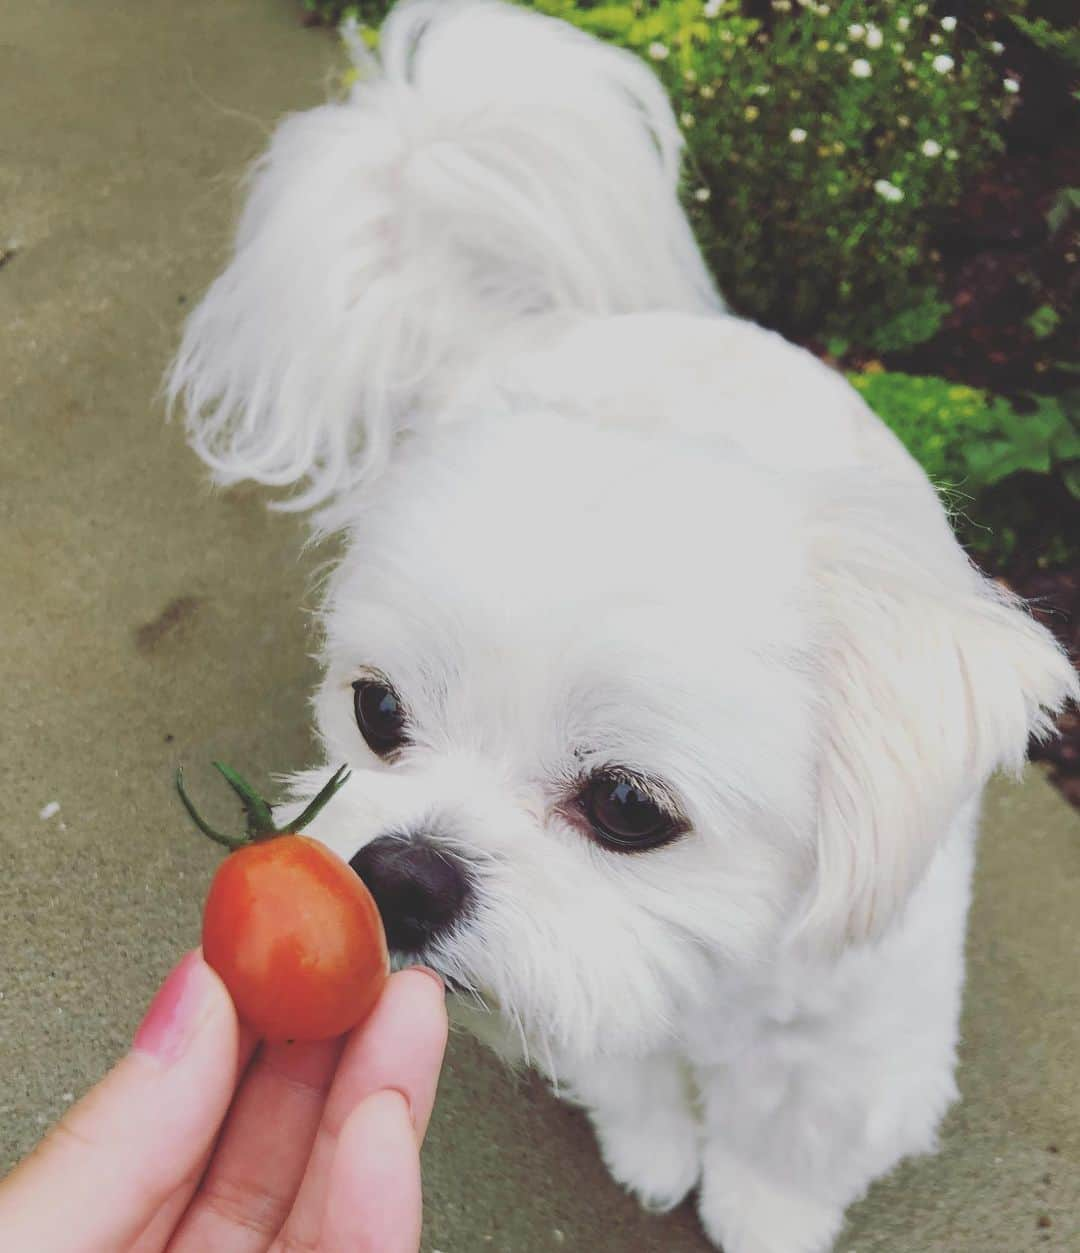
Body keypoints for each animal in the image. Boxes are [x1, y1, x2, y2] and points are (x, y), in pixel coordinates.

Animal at [166, 4, 1072, 1247]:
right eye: (377, 709)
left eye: (629, 806)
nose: (402, 872)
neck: (715, 977)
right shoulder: (595, 974)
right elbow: (626, 1062)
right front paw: (653, 1143)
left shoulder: (852, 1031)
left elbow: (795, 1131)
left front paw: (765, 1208)